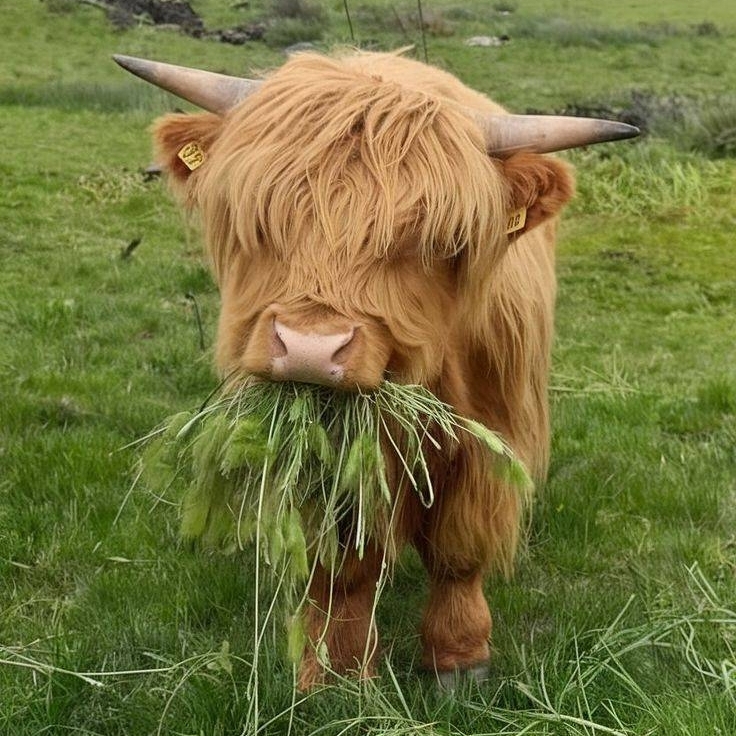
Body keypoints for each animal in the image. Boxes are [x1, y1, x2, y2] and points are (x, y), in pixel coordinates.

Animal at [115, 50, 638, 689]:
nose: (310, 348)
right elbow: (341, 563)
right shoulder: (325, 456)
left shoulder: (491, 435)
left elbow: (459, 549)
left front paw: (459, 660)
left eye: (431, 240)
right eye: (259, 219)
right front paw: (332, 668)